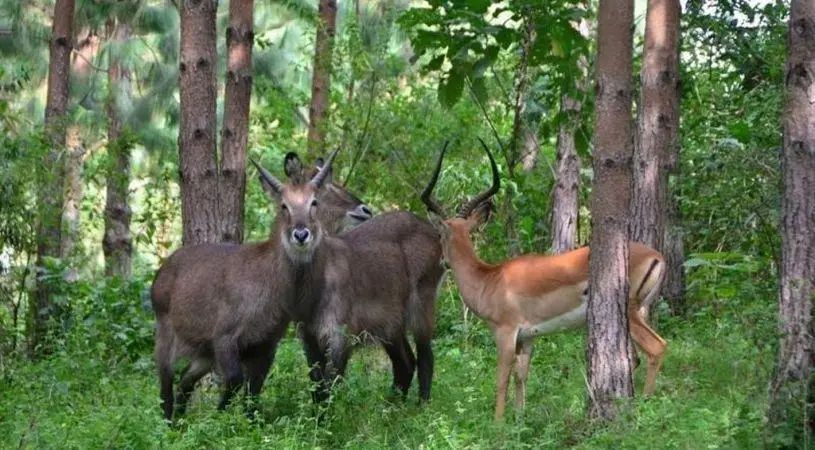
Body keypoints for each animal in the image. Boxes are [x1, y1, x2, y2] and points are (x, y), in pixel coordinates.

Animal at [151, 152, 372, 422]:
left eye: (314, 201)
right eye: (284, 205)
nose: (301, 234)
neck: (268, 280)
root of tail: (164, 269)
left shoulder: (266, 345)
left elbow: (253, 393)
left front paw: (246, 425)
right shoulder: (225, 337)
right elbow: (235, 381)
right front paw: (221, 421)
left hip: (204, 352)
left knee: (185, 382)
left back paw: (181, 424)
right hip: (167, 337)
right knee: (165, 385)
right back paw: (167, 423)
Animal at [420, 140, 668, 422]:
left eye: (440, 235)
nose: (443, 262)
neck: (489, 279)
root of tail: (657, 256)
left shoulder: (505, 334)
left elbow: (501, 379)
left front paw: (498, 424)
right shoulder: (528, 337)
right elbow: (521, 377)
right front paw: (519, 419)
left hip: (631, 313)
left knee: (658, 347)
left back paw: (645, 404)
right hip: (640, 312)